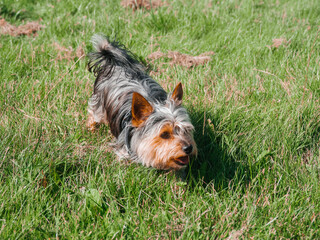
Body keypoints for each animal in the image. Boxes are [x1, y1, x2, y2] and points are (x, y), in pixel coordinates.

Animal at [86, 35, 196, 171]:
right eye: (164, 134)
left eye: (186, 130)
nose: (189, 148)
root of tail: (115, 62)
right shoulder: (123, 148)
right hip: (98, 104)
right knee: (93, 113)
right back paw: (91, 127)